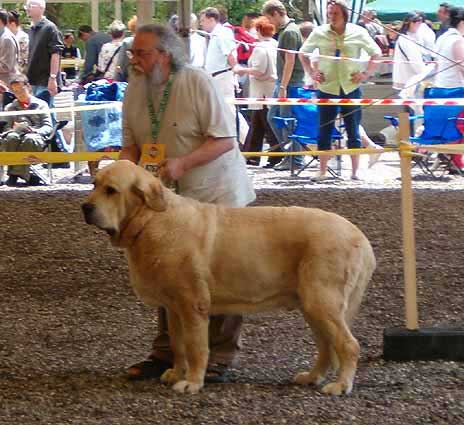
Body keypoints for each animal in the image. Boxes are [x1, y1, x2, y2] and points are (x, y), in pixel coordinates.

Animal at [81, 159, 376, 394]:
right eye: (94, 184)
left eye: (111, 191)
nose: (85, 207)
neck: (151, 221)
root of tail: (360, 237)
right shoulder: (174, 308)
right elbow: (178, 345)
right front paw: (176, 373)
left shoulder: (193, 305)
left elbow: (196, 348)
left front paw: (192, 382)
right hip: (312, 307)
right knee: (326, 347)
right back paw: (311, 377)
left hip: (321, 301)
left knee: (348, 345)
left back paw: (341, 385)